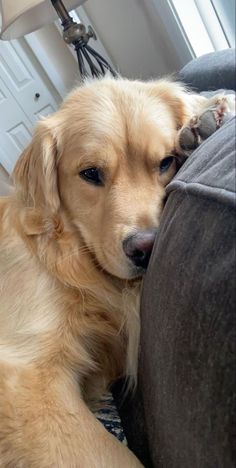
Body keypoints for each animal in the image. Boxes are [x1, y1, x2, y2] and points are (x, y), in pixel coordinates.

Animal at [0, 76, 232, 464]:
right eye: (90, 173)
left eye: (166, 162)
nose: (146, 248)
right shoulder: (24, 371)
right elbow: (113, 457)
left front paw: (212, 112)